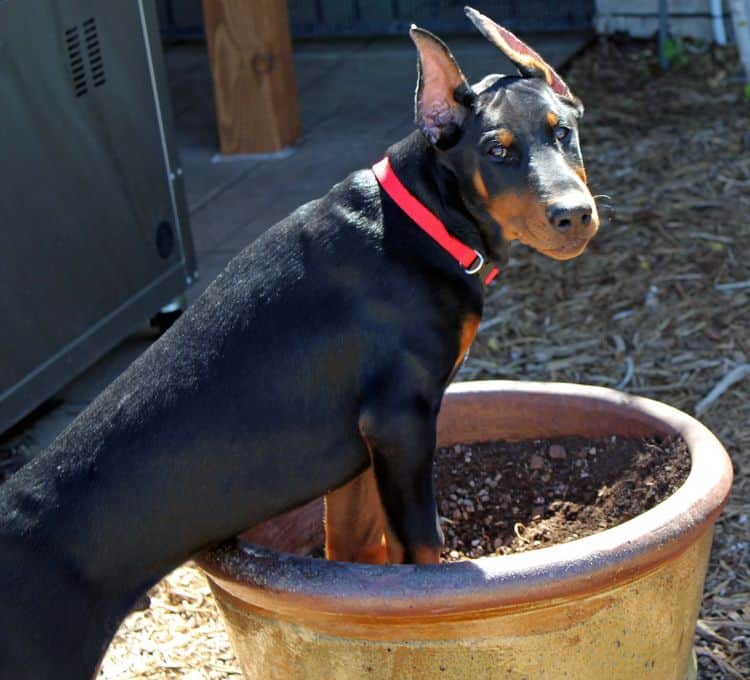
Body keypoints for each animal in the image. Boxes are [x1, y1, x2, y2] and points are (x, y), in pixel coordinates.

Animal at [0, 7, 600, 676]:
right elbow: (422, 552)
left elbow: (356, 549)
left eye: (563, 132)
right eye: (498, 150)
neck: (421, 219)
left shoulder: (361, 448)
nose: (575, 215)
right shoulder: (401, 422)